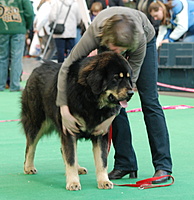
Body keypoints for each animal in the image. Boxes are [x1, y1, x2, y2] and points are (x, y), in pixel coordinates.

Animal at [20, 51, 133, 191]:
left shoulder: (100, 134)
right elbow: (71, 159)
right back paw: (28, 167)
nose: (131, 92)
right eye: (116, 78)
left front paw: (104, 181)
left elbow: (101, 161)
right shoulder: (69, 130)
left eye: (128, 78)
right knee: (30, 146)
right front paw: (73, 182)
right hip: (37, 122)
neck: (89, 98)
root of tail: (37, 68)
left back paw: (78, 168)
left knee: (63, 150)